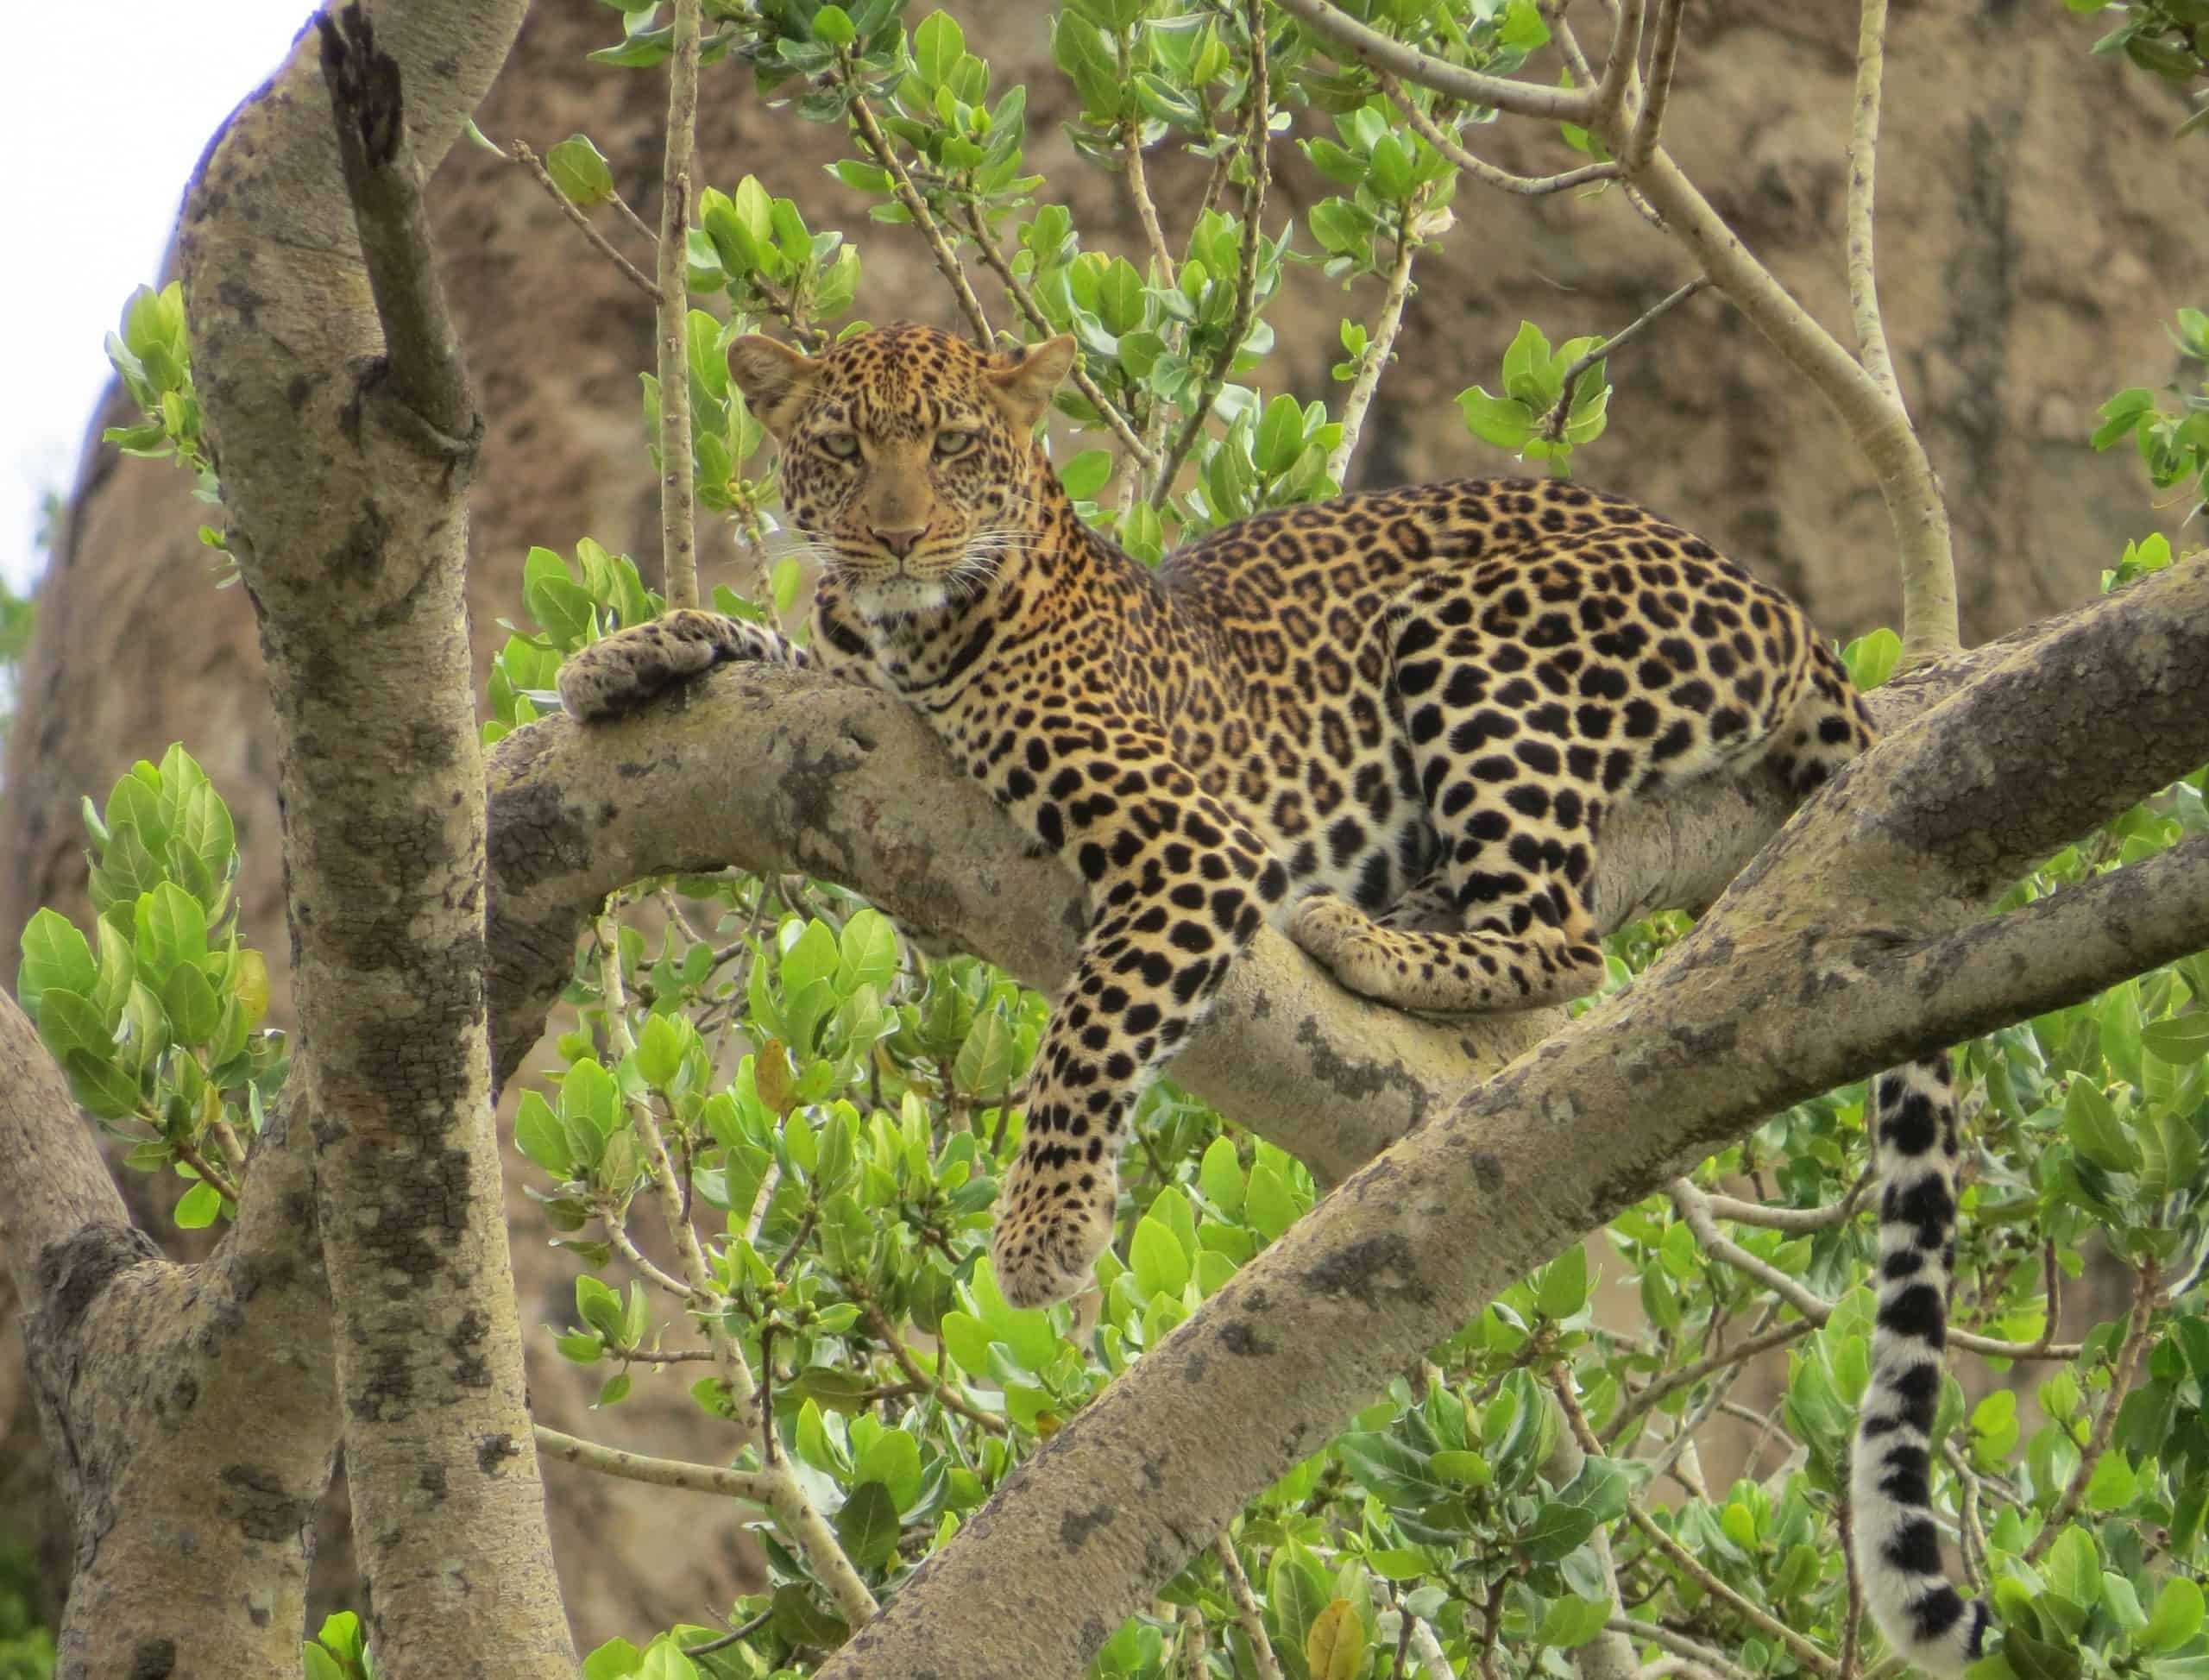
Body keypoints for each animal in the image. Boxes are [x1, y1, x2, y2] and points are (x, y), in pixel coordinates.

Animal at [557, 322, 1986, 1674]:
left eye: (956, 445)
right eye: (843, 448)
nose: (900, 532)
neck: (914, 629)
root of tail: (1770, 594)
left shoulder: (1193, 842)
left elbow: (1086, 1035)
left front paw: (1044, 1233)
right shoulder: (861, 716)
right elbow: (779, 648)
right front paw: (634, 651)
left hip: (1471, 636)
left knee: (1562, 934)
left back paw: (1364, 934)